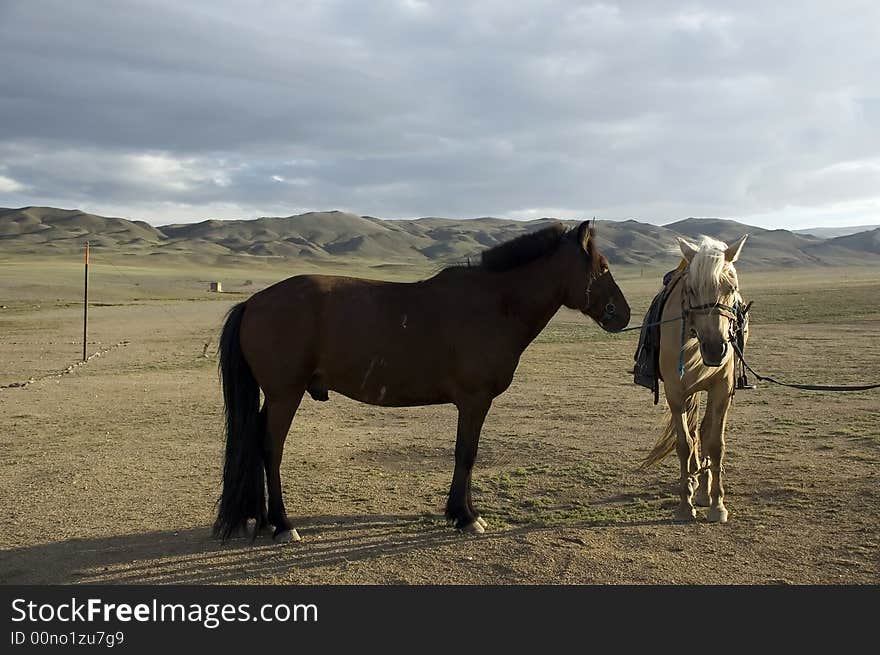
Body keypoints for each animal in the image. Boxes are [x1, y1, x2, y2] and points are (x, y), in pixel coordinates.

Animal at [216, 222, 628, 544]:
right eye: (603, 267)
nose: (623, 314)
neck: (496, 304)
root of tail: (253, 302)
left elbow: (466, 454)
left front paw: (461, 512)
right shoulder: (474, 401)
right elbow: (466, 454)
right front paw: (466, 516)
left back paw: (263, 519)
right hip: (285, 395)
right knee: (271, 450)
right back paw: (283, 524)